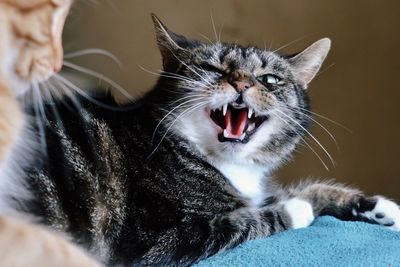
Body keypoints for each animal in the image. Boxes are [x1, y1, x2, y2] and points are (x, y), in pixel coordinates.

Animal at [4, 13, 400, 267]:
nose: (242, 82)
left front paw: (378, 207)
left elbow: (299, 190)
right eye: (211, 68)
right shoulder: (151, 241)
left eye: (270, 80)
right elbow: (245, 219)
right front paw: (297, 209)